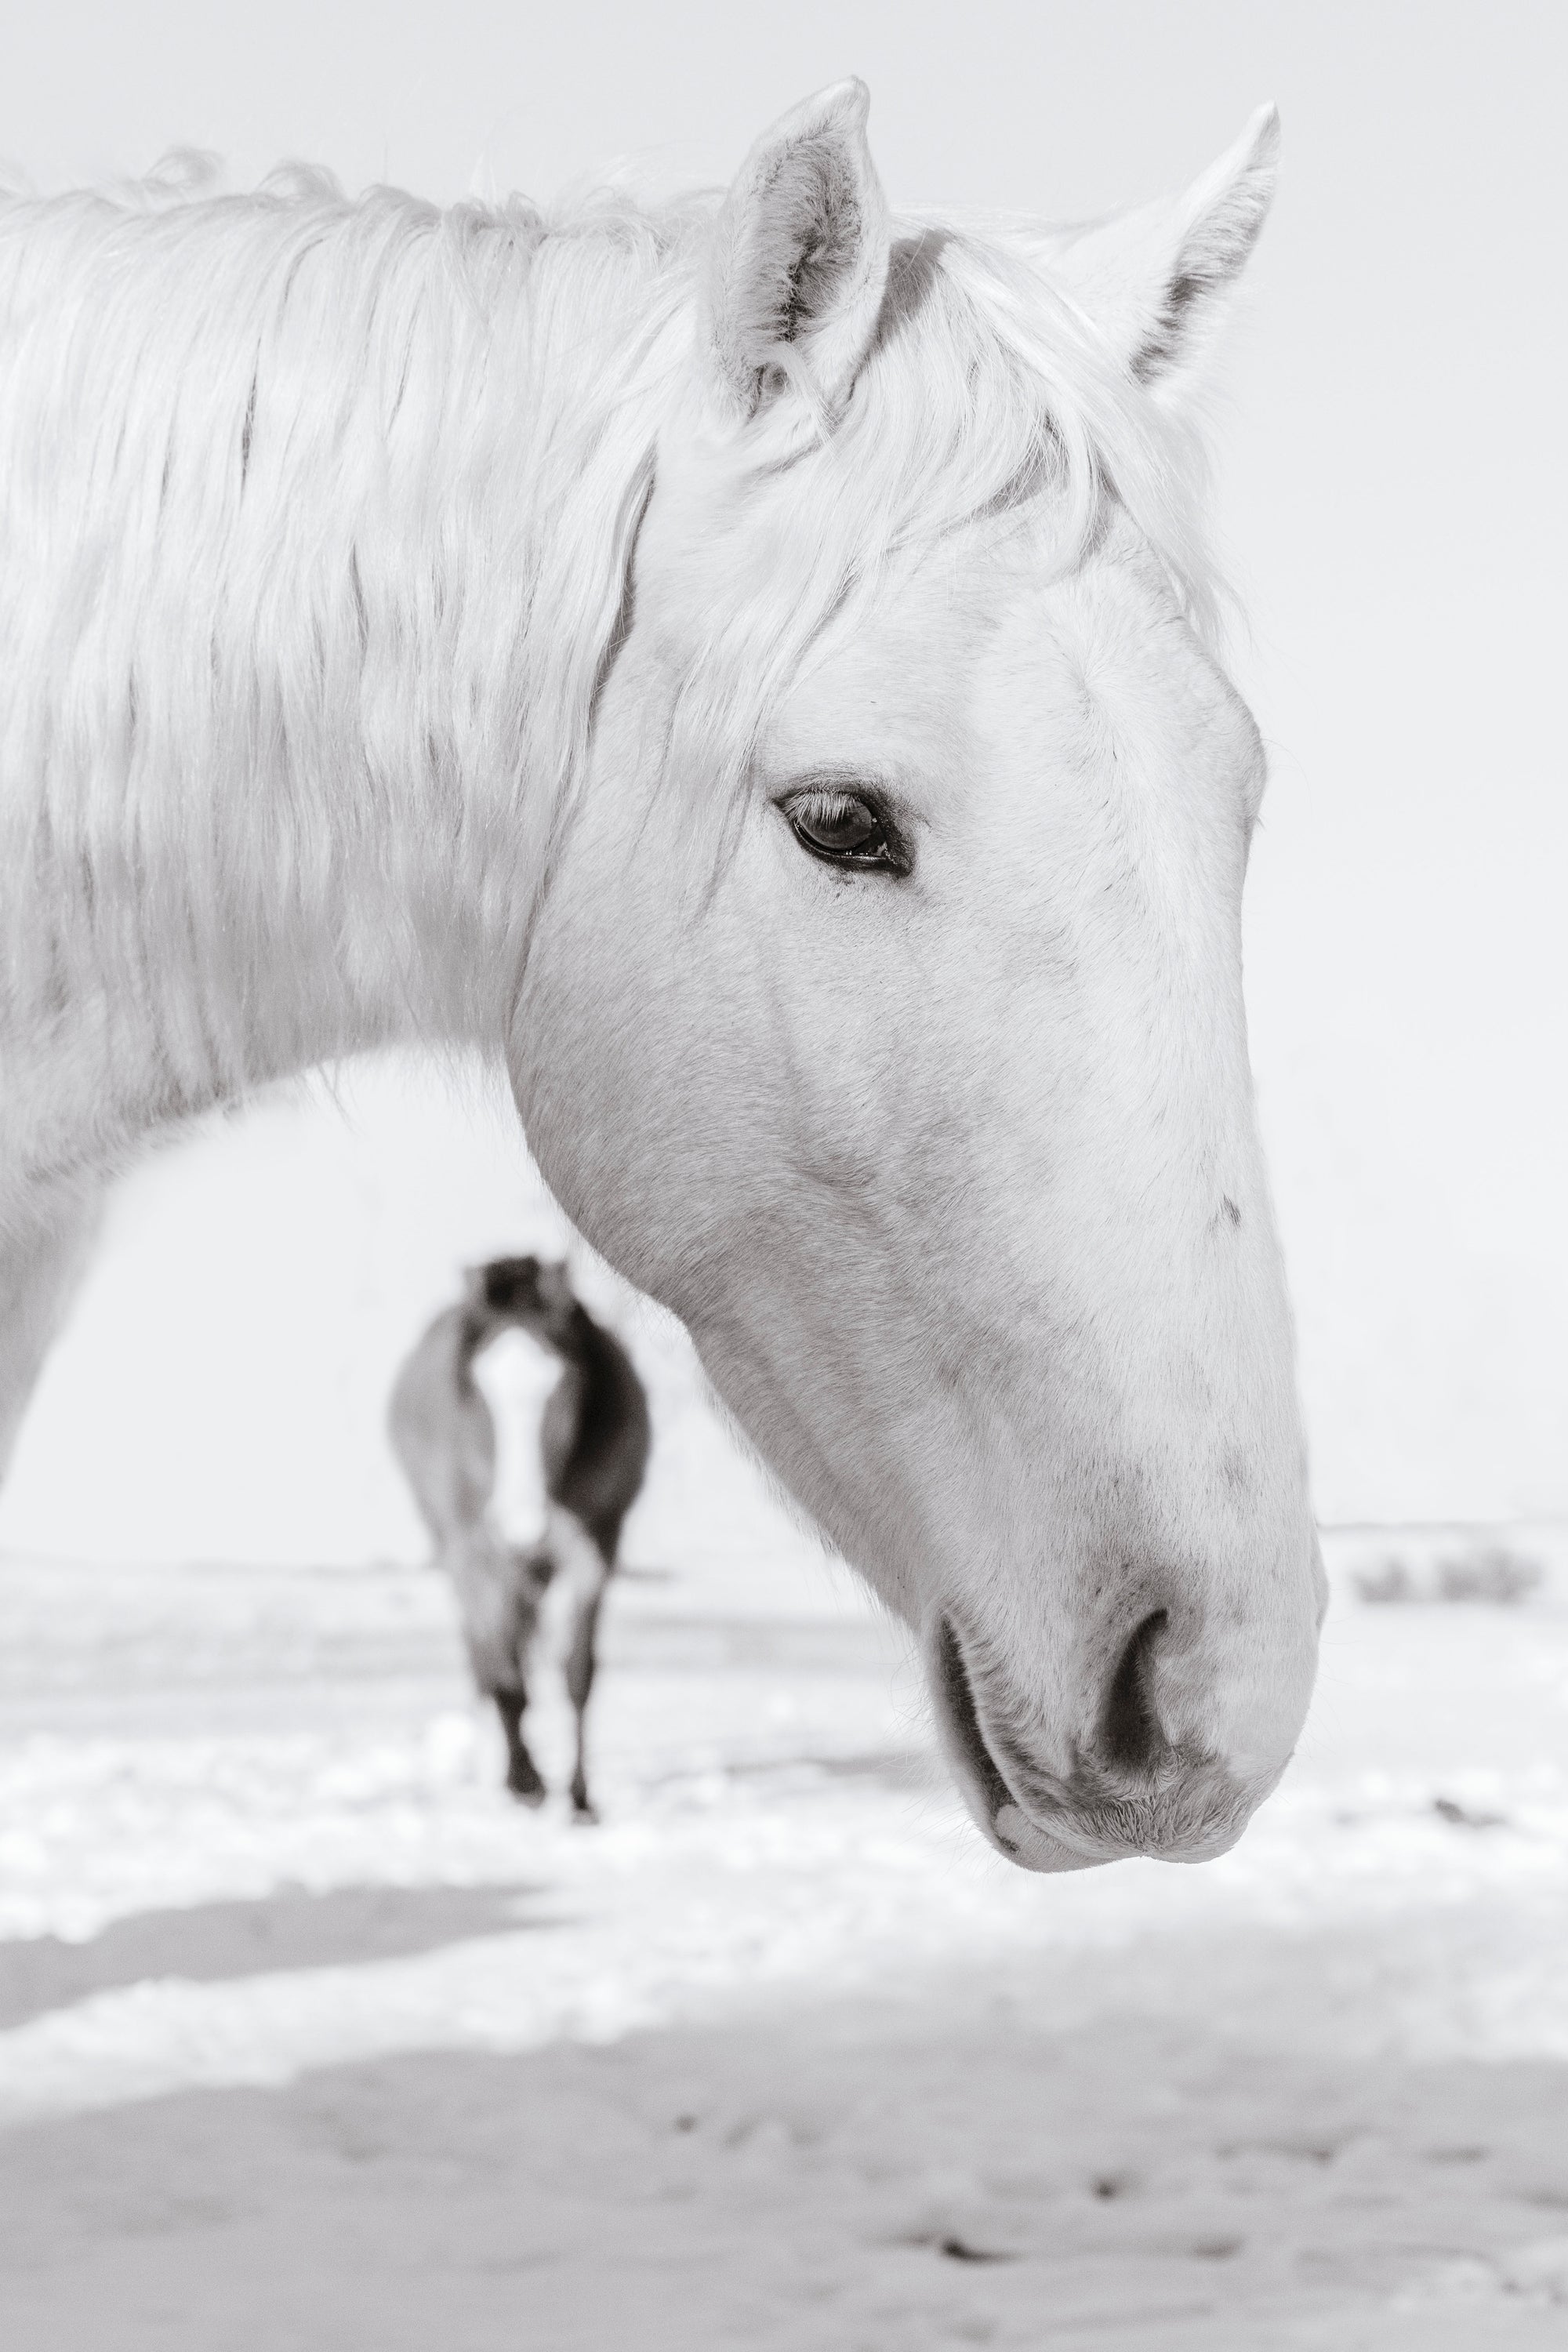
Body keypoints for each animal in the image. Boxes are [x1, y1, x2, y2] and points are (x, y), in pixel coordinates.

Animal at [388, 1255, 650, 1817]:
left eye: (562, 1380)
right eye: (479, 1388)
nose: (520, 1522)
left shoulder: (595, 1549)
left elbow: (577, 1674)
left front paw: (579, 1800)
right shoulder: (480, 1555)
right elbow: (505, 1675)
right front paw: (524, 1783)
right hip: (462, 1555)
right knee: (485, 1660)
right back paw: (497, 1767)